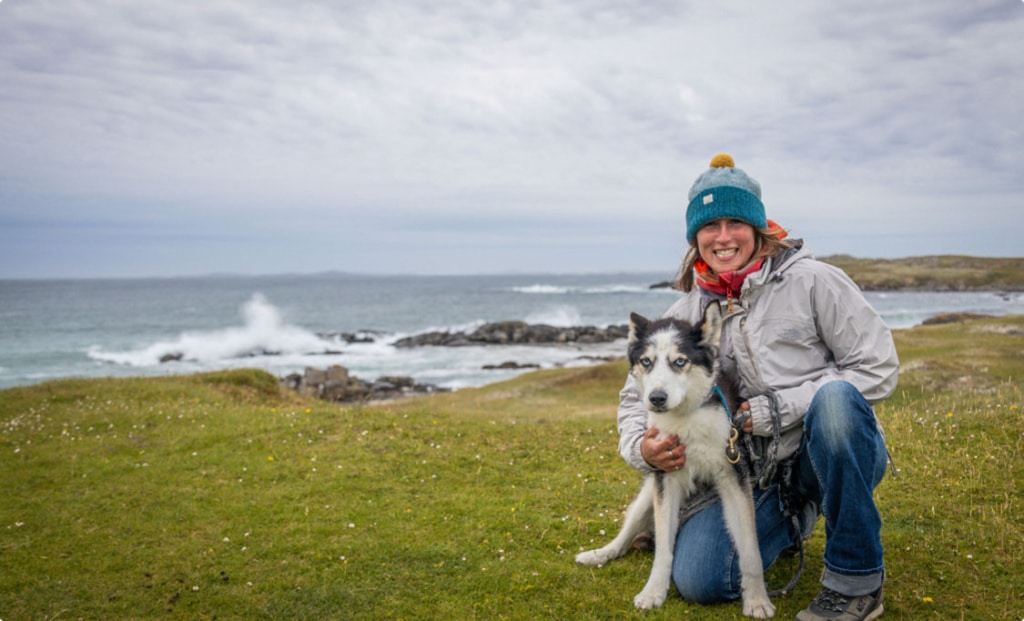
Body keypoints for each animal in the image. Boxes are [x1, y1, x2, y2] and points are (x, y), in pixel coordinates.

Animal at [581, 303, 770, 618]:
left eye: (680, 361)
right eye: (646, 361)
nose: (656, 398)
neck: (686, 417)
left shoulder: (734, 478)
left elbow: (750, 549)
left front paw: (757, 599)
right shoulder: (665, 480)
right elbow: (663, 550)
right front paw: (653, 592)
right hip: (647, 497)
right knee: (625, 537)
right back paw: (599, 554)